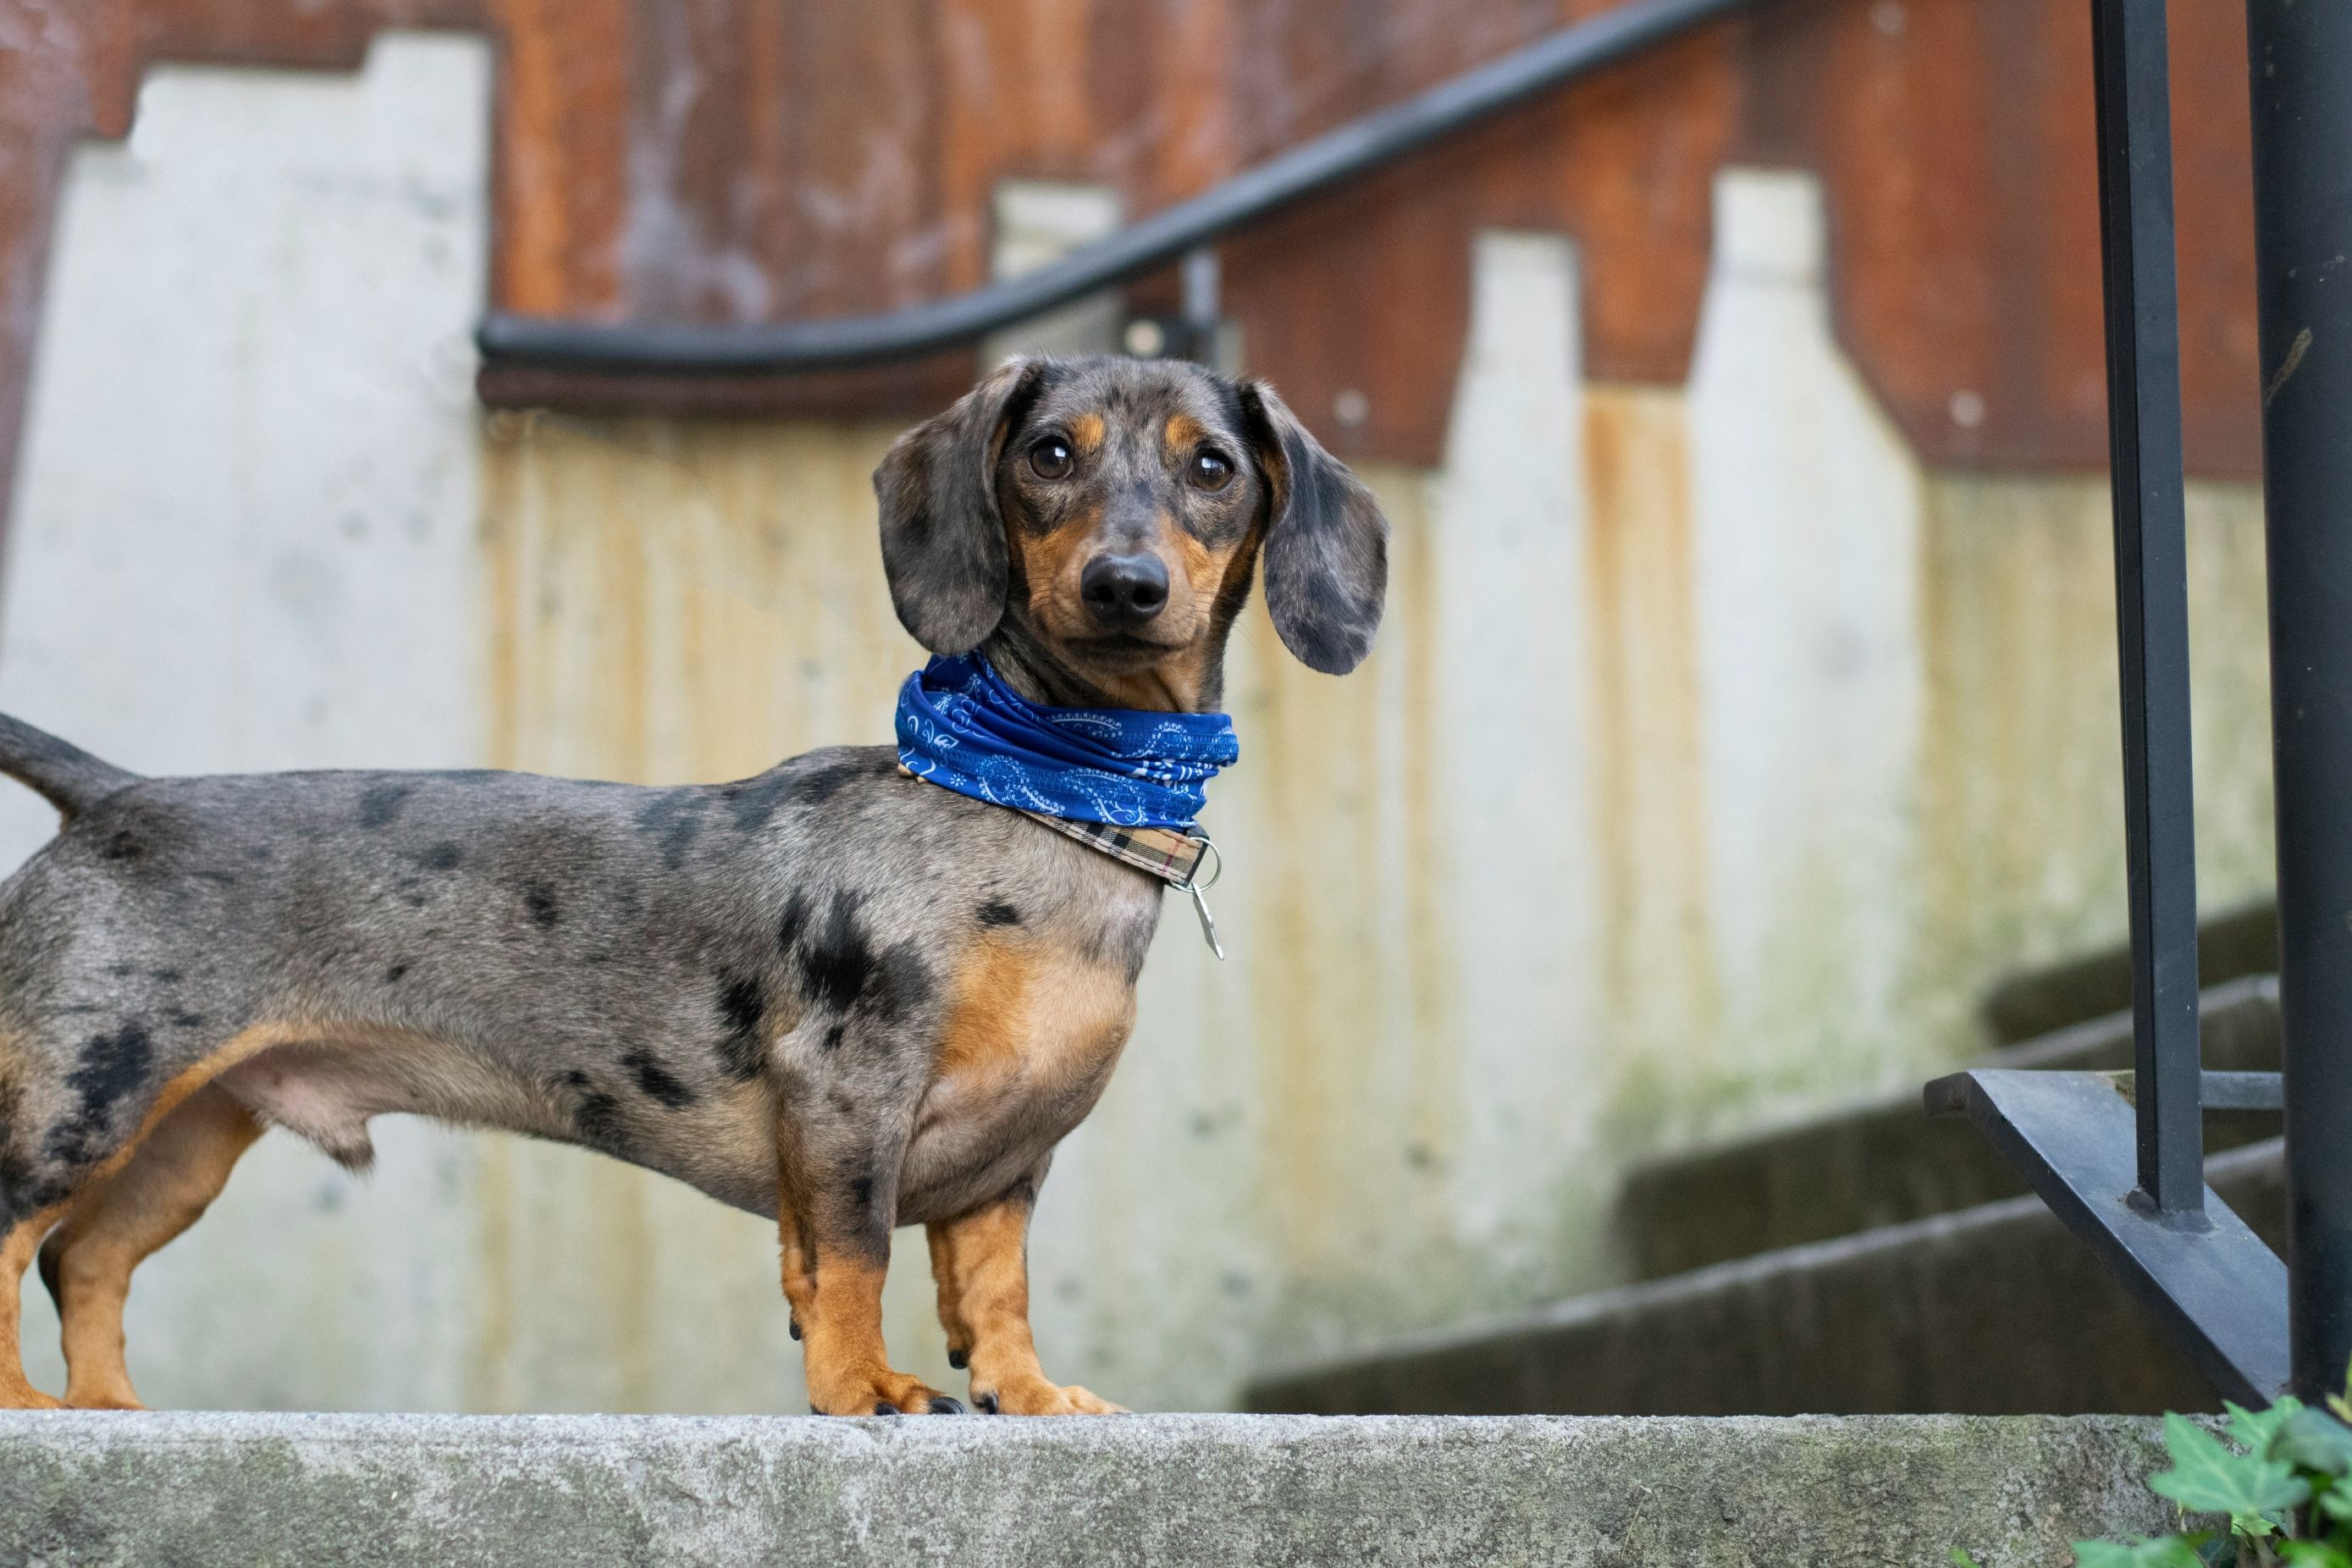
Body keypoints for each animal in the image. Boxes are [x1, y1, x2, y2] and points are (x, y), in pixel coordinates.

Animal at [0, 359, 1383, 1420]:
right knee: (15, 1239)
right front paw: (864, 1390)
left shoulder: (1008, 1159)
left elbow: (994, 1292)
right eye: (1048, 453)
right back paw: (31, 1408)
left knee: (85, 1261)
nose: (1125, 586)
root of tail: (114, 795)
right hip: (81, 1097)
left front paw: (1029, 1396)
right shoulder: (846, 1093)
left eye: (1213, 467)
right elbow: (851, 1258)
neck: (1034, 793)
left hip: (184, 1130)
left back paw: (108, 1410)